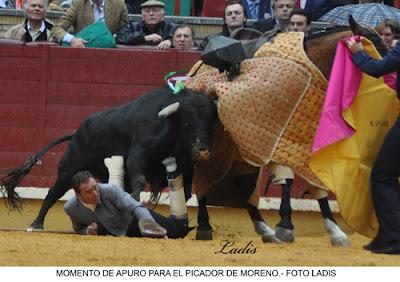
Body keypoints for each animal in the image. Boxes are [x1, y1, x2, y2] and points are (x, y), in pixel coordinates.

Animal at [0, 87, 217, 229]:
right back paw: (36, 224)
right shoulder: (137, 155)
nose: (202, 149)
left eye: (211, 120)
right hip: (68, 170)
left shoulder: (185, 164)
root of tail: (76, 133)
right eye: (187, 121)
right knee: (53, 193)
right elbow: (139, 181)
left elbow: (188, 192)